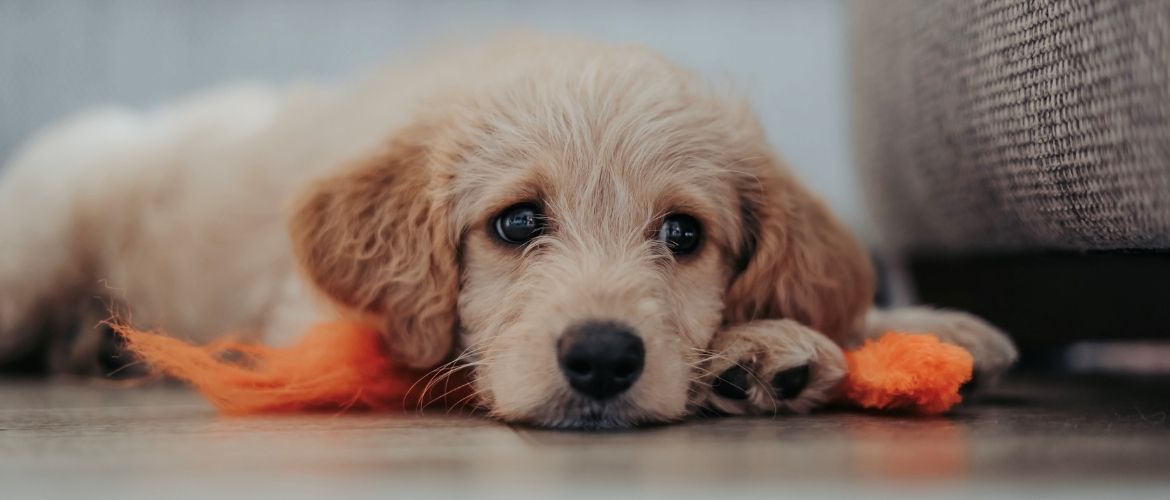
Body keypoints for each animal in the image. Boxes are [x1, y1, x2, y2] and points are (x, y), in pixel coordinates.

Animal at [0, 37, 1015, 428]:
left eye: (683, 235)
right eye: (517, 222)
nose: (602, 359)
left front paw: (917, 327)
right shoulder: (328, 325)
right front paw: (765, 346)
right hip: (39, 239)